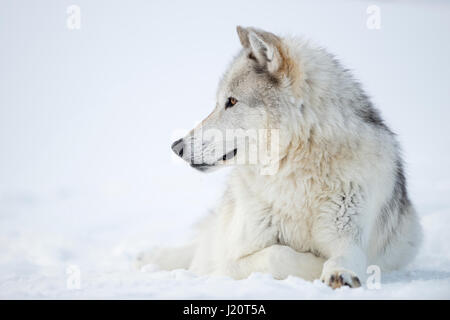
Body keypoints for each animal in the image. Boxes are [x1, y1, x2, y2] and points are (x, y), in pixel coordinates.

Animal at [138, 26, 422, 288]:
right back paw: (148, 258)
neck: (297, 177)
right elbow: (278, 255)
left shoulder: (350, 237)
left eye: (231, 101)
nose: (177, 147)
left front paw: (338, 272)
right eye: (218, 102)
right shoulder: (234, 257)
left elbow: (348, 258)